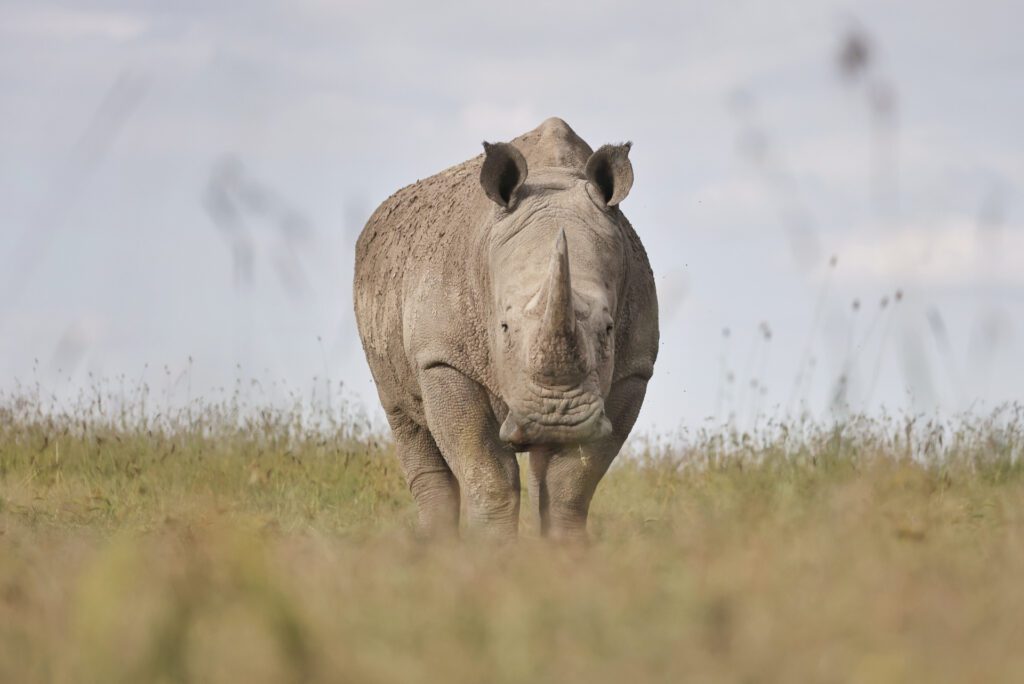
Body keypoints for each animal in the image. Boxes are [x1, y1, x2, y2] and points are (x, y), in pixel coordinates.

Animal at [353, 117, 658, 540]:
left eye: (610, 328)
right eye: (503, 327)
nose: (555, 417)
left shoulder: (634, 369)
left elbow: (571, 483)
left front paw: (566, 551)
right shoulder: (443, 358)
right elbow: (487, 471)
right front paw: (492, 550)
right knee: (404, 417)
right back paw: (434, 546)